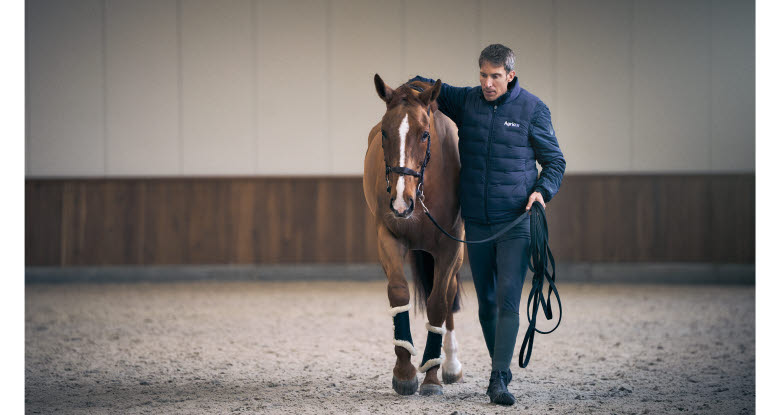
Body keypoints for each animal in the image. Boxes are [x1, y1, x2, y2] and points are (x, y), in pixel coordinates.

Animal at [364, 75, 464, 396]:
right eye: (385, 132)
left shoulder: (450, 246)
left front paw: (431, 375)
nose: (400, 202)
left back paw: (450, 364)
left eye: (424, 134)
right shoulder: (388, 236)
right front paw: (405, 372)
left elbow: (438, 303)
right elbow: (399, 293)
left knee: (449, 292)